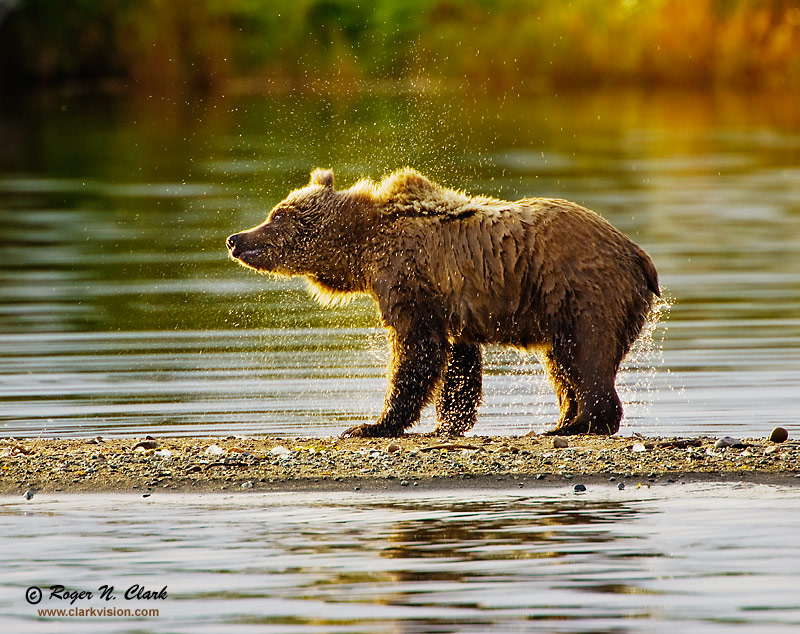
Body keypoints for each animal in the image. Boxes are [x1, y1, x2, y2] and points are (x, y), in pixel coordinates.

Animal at [227, 167, 664, 434]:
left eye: (276, 216)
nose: (235, 239)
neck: (365, 249)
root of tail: (638, 254)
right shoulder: (446, 300)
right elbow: (457, 359)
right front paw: (449, 421)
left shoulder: (407, 280)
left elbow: (416, 351)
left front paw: (372, 424)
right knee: (561, 363)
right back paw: (564, 418)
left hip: (581, 290)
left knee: (586, 353)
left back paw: (580, 422)